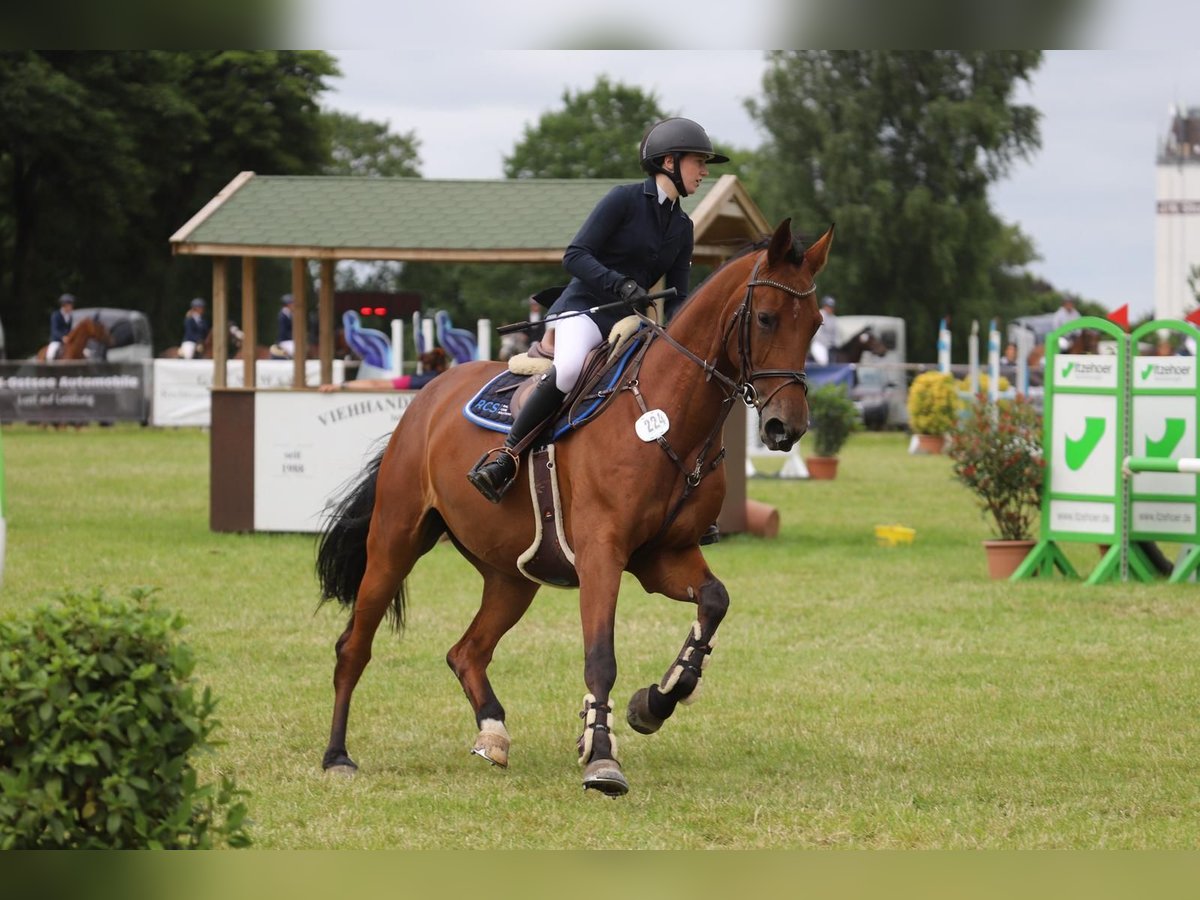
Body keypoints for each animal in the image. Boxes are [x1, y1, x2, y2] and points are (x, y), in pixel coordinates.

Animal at [314, 222, 830, 801]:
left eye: (815, 324)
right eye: (765, 318)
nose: (786, 427)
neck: (669, 417)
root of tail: (427, 398)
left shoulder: (664, 555)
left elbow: (715, 602)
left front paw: (656, 701)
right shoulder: (602, 554)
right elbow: (600, 656)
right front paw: (602, 759)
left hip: (512, 575)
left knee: (467, 651)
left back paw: (493, 734)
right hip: (395, 541)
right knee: (354, 646)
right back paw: (337, 756)